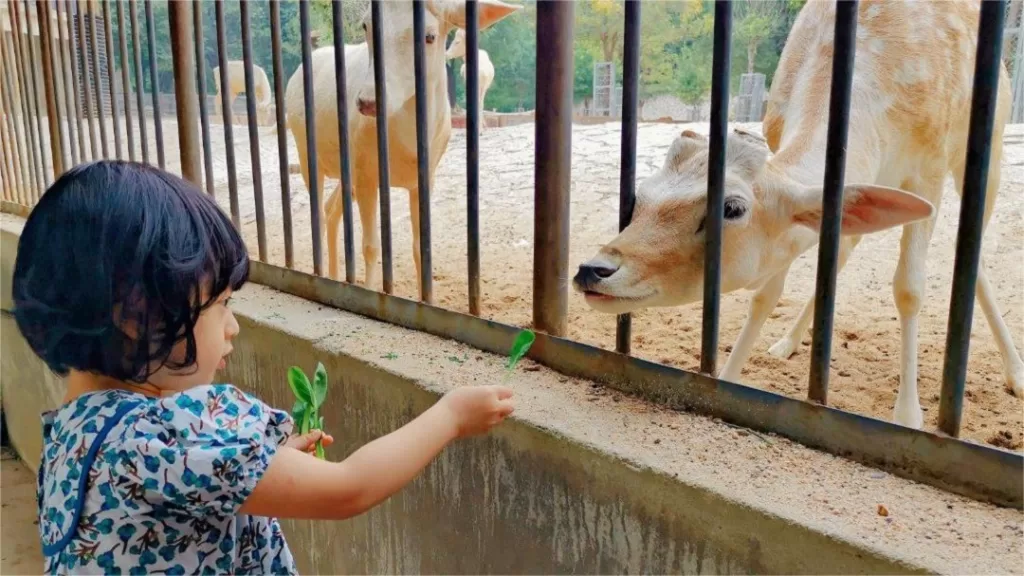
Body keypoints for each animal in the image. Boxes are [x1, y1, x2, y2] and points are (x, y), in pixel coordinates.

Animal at [284, 0, 520, 289]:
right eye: (366, 25)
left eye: (429, 36)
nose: (367, 102)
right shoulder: (365, 170)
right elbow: (371, 246)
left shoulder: (425, 176)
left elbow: (421, 249)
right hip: (305, 149)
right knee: (317, 211)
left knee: (331, 209)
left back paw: (335, 276)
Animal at [573, 0, 1019, 428]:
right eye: (641, 195)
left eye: (732, 208)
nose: (593, 269)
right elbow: (767, 292)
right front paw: (729, 378)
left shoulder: (929, 167)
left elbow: (909, 288)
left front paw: (909, 417)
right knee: (848, 248)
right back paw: (786, 343)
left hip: (988, 152)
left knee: (973, 251)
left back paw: (1015, 373)